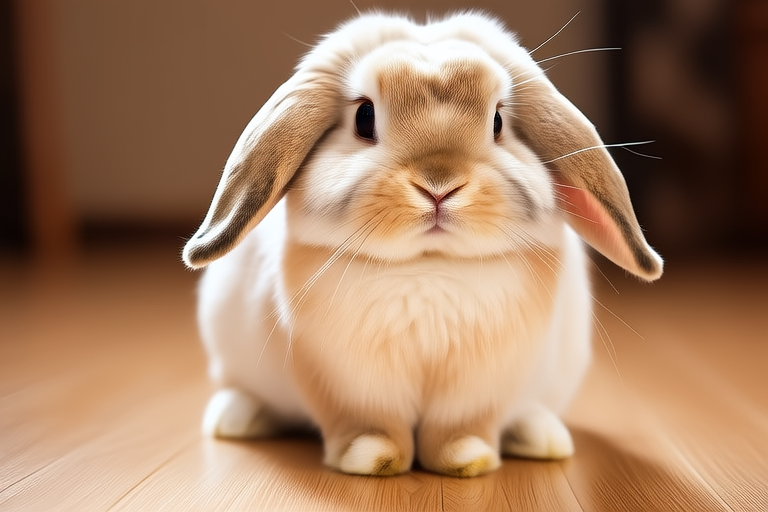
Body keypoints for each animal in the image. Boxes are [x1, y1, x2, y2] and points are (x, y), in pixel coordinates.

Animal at [182, 12, 663, 477]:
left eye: (498, 122)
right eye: (364, 118)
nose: (439, 185)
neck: (428, 268)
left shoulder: (480, 386)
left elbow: (459, 428)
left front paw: (468, 458)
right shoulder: (344, 380)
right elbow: (369, 424)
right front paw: (368, 457)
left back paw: (543, 437)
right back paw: (234, 418)